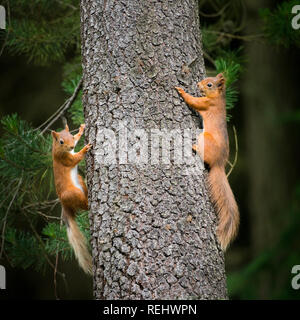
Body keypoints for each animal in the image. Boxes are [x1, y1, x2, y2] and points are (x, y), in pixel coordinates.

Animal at [51, 124, 92, 274]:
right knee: (84, 206)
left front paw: (81, 130)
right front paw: (85, 149)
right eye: (61, 141)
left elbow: (77, 137)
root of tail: (64, 203)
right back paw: (89, 203)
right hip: (72, 194)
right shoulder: (64, 159)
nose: (72, 146)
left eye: (70, 136)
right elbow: (75, 159)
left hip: (79, 181)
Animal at [176, 74, 239, 251]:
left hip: (204, 138)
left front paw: (181, 91)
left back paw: (195, 147)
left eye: (209, 84)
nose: (198, 84)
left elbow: (193, 101)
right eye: (206, 79)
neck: (218, 97)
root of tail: (219, 164)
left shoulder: (206, 104)